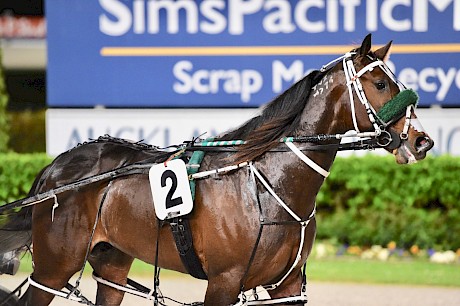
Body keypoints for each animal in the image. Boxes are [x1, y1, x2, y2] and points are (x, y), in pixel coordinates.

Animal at [0, 34, 434, 304]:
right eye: (381, 84)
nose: (421, 141)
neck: (270, 183)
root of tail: (55, 168)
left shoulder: (288, 285)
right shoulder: (224, 282)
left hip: (111, 264)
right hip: (53, 270)